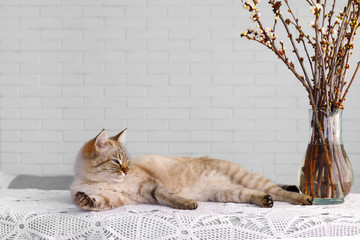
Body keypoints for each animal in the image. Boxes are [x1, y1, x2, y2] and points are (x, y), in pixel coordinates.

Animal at [70, 128, 312, 211]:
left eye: (127, 161)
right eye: (116, 162)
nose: (126, 171)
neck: (99, 181)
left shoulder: (152, 187)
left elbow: (170, 197)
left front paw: (188, 204)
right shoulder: (116, 200)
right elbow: (95, 202)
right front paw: (85, 200)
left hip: (247, 178)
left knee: (279, 191)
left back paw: (303, 198)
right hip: (227, 192)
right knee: (257, 194)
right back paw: (265, 201)